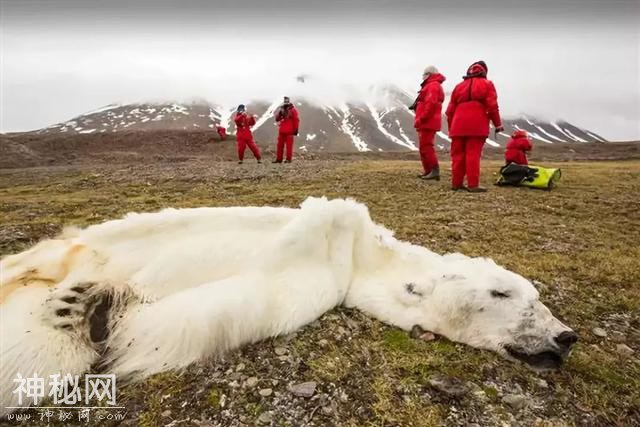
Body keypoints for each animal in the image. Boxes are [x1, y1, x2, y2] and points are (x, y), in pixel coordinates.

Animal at [0, 196, 576, 412]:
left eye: (537, 298)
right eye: (505, 292)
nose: (565, 337)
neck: (362, 258)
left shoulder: (316, 285)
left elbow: (211, 311)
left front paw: (101, 311)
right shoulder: (330, 237)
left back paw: (77, 307)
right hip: (73, 248)